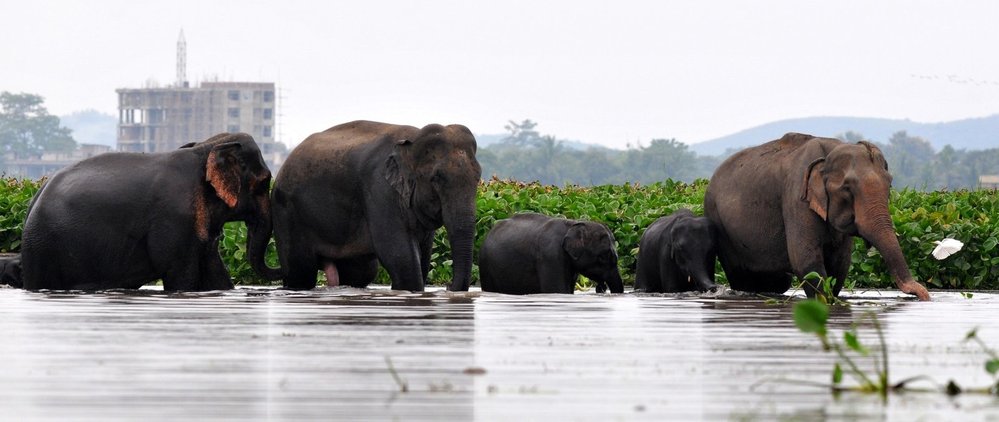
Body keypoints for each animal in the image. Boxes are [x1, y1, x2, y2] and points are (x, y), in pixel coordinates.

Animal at [19, 133, 278, 290]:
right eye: (265, 182)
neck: (206, 147)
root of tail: (35, 198)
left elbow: (214, 269)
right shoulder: (175, 218)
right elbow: (181, 273)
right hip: (44, 248)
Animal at [270, 118, 480, 290]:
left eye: (478, 177)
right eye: (437, 178)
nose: (448, 287)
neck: (412, 140)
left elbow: (424, 256)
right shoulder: (379, 188)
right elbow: (400, 255)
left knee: (360, 272)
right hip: (288, 213)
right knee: (301, 271)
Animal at [478, 213, 624, 296]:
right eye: (602, 257)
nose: (601, 288)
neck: (572, 224)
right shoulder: (551, 255)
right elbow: (558, 290)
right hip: (486, 267)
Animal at [704, 132, 928, 300]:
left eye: (889, 185)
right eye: (847, 189)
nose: (922, 294)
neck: (827, 154)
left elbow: (840, 264)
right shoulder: (796, 196)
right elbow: (806, 260)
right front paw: (824, 301)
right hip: (719, 223)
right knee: (741, 276)